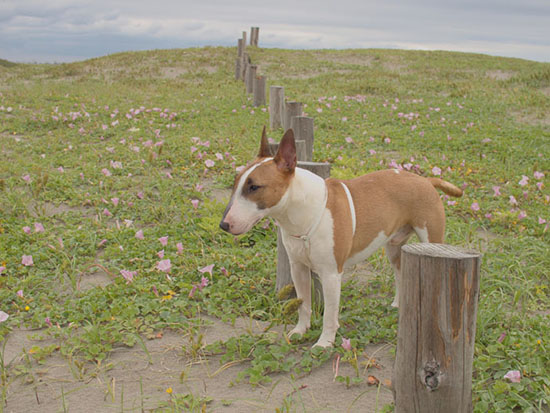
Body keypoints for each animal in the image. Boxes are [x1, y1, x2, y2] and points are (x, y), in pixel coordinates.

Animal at [220, 127, 466, 346]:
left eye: (254, 187)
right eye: (235, 183)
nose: (224, 224)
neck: (300, 214)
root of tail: (426, 180)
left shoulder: (331, 274)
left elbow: (330, 314)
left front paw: (324, 343)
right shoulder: (298, 268)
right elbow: (303, 304)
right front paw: (300, 331)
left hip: (431, 239)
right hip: (393, 246)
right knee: (400, 273)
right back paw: (397, 304)